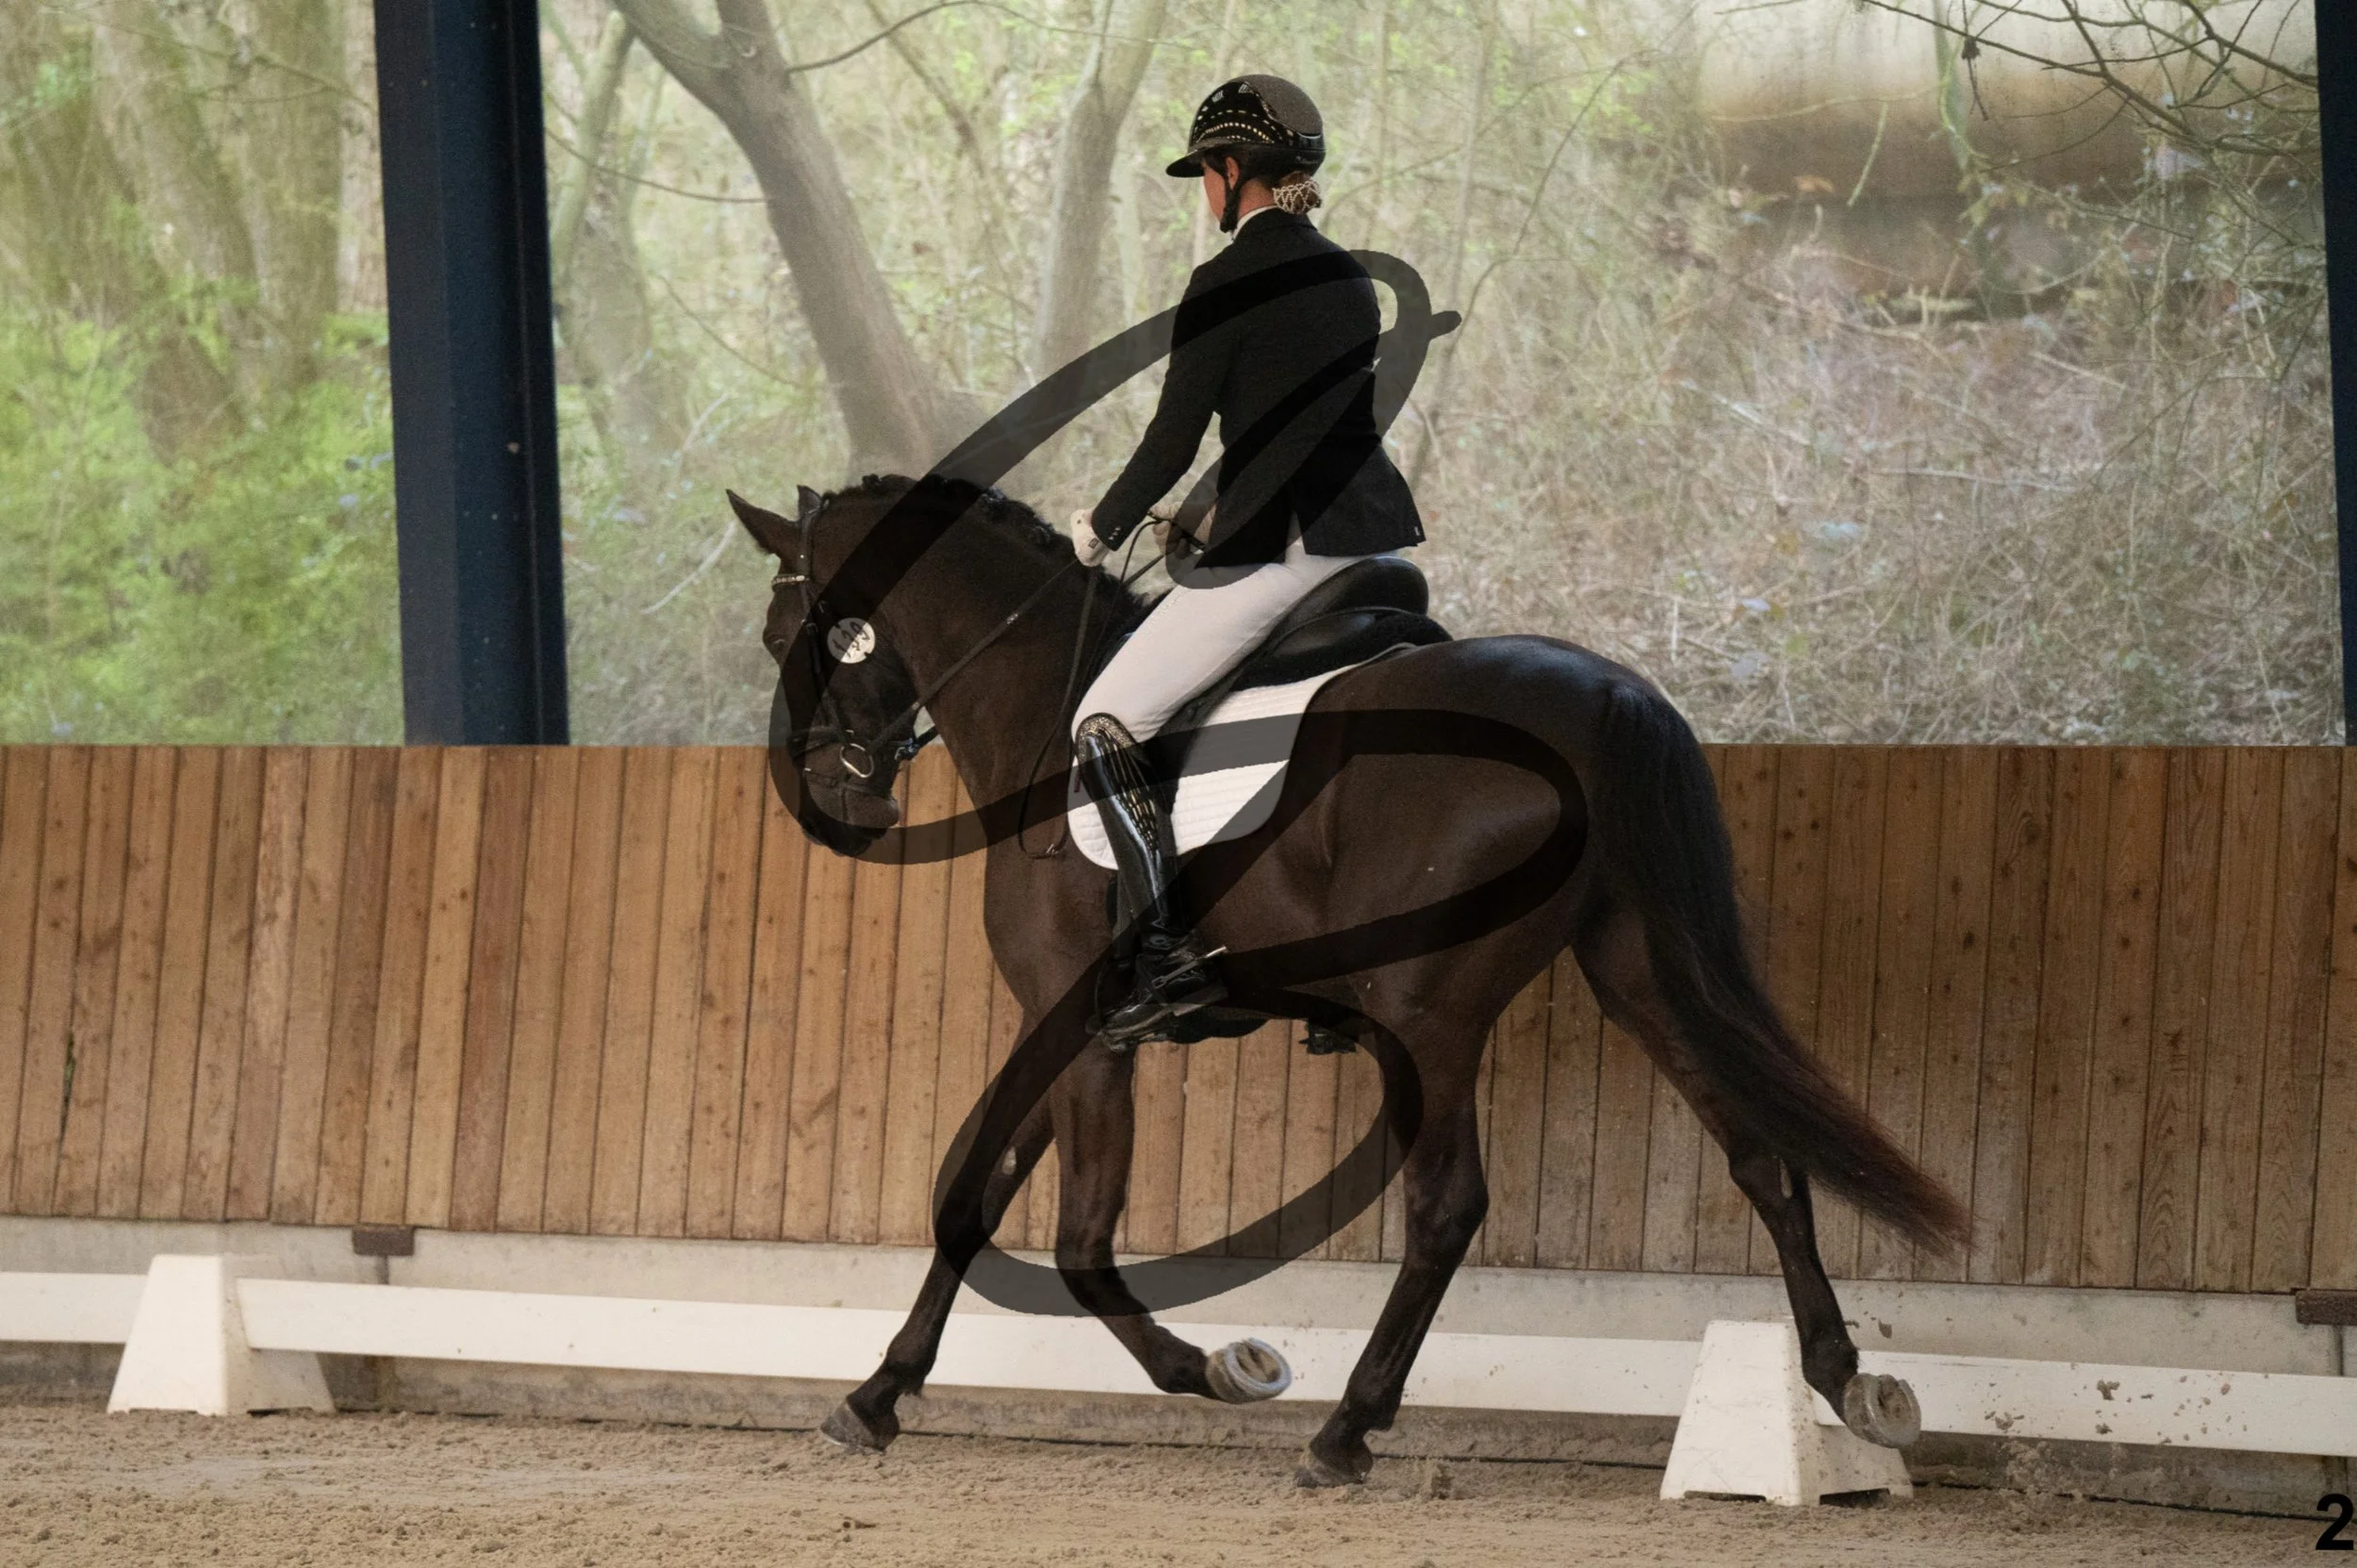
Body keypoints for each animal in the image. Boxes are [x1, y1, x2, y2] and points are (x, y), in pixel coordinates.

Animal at [727, 471, 1969, 1488]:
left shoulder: (1080, 1021)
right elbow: (970, 1202)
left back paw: (1345, 1431)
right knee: (1764, 1158)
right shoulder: (1066, 1023)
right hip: (1637, 970)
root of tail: (1602, 695)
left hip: (1432, 1010)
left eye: (788, 630)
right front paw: (874, 1397)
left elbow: (1078, 1243)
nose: (839, 805)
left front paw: (1221, 1367)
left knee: (1447, 1204)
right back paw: (1845, 1381)